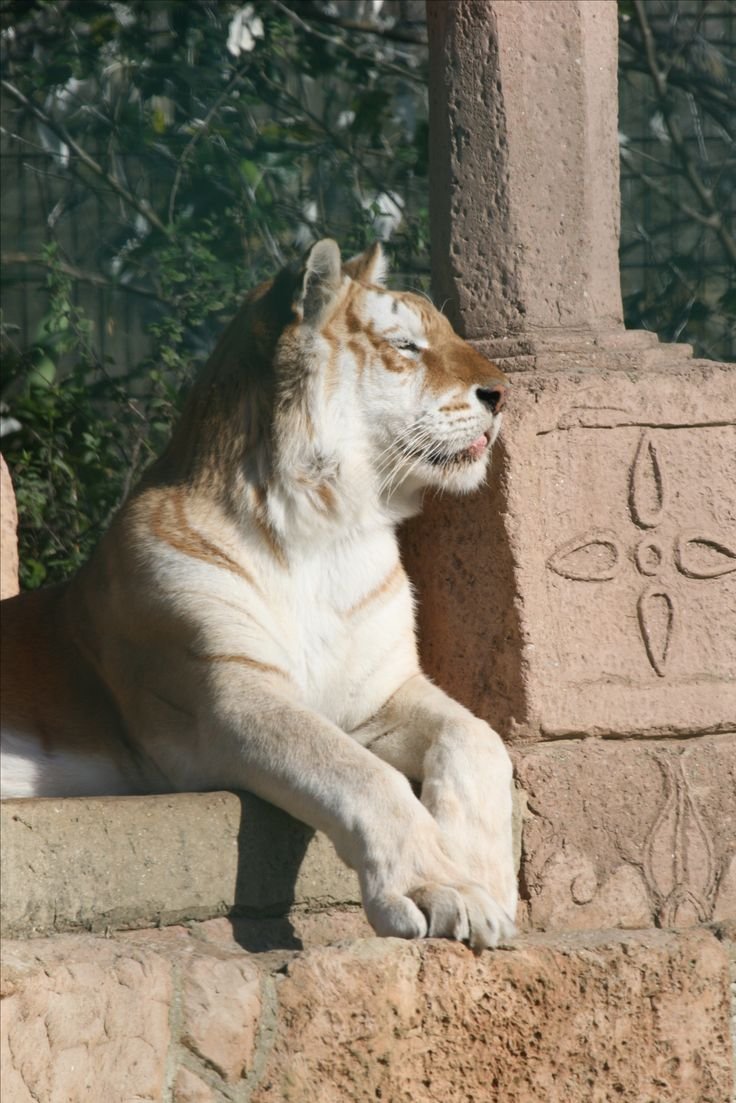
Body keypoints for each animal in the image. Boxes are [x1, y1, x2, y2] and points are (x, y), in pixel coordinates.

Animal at [0, 240, 517, 950]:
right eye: (406, 345)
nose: (502, 394)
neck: (327, 534)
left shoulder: (378, 696)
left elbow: (480, 738)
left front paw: (487, 887)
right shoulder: (230, 698)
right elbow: (364, 775)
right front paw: (440, 889)